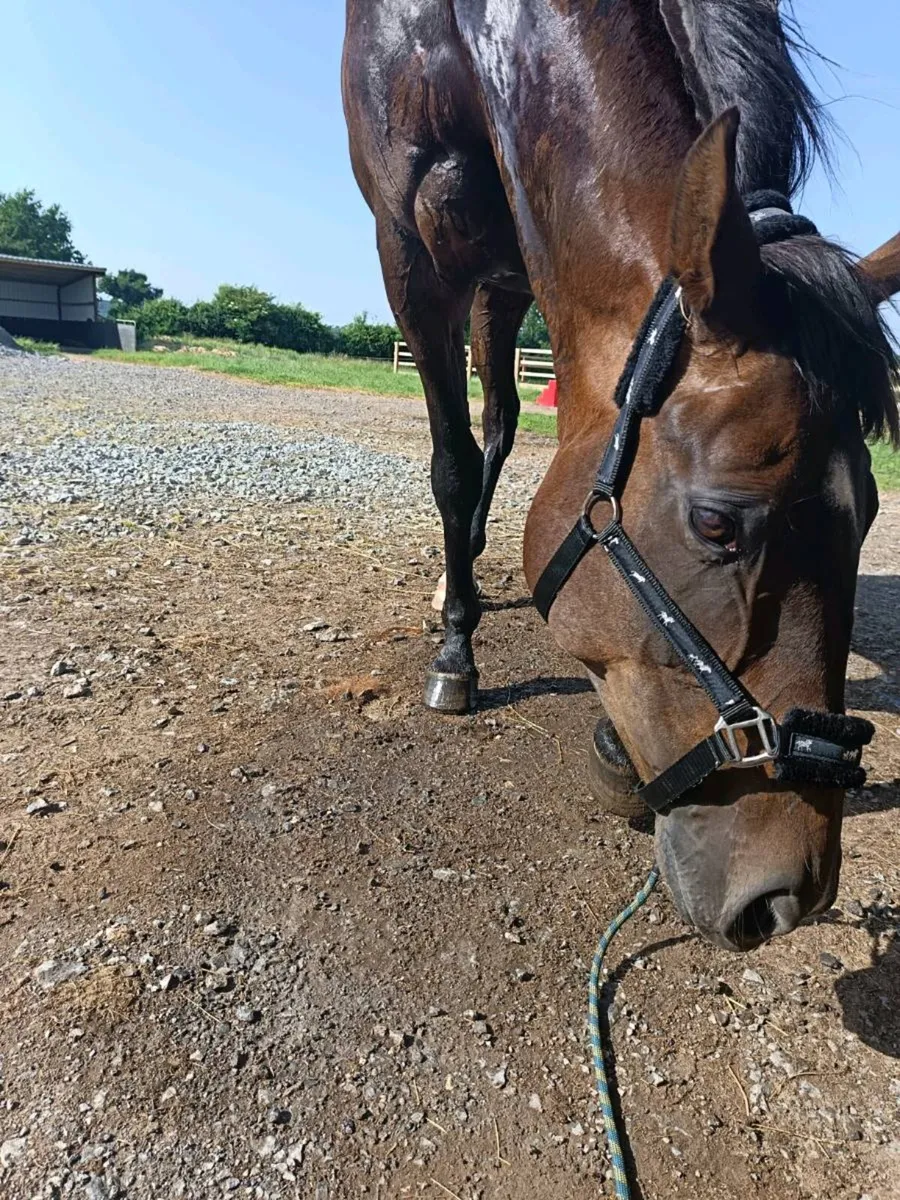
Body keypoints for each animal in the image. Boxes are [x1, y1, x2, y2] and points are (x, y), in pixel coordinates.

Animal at [342, 0, 900, 951]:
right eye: (716, 524)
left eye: (866, 516)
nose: (789, 897)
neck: (468, 34)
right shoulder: (407, 250)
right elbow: (451, 464)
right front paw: (455, 652)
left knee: (502, 423)